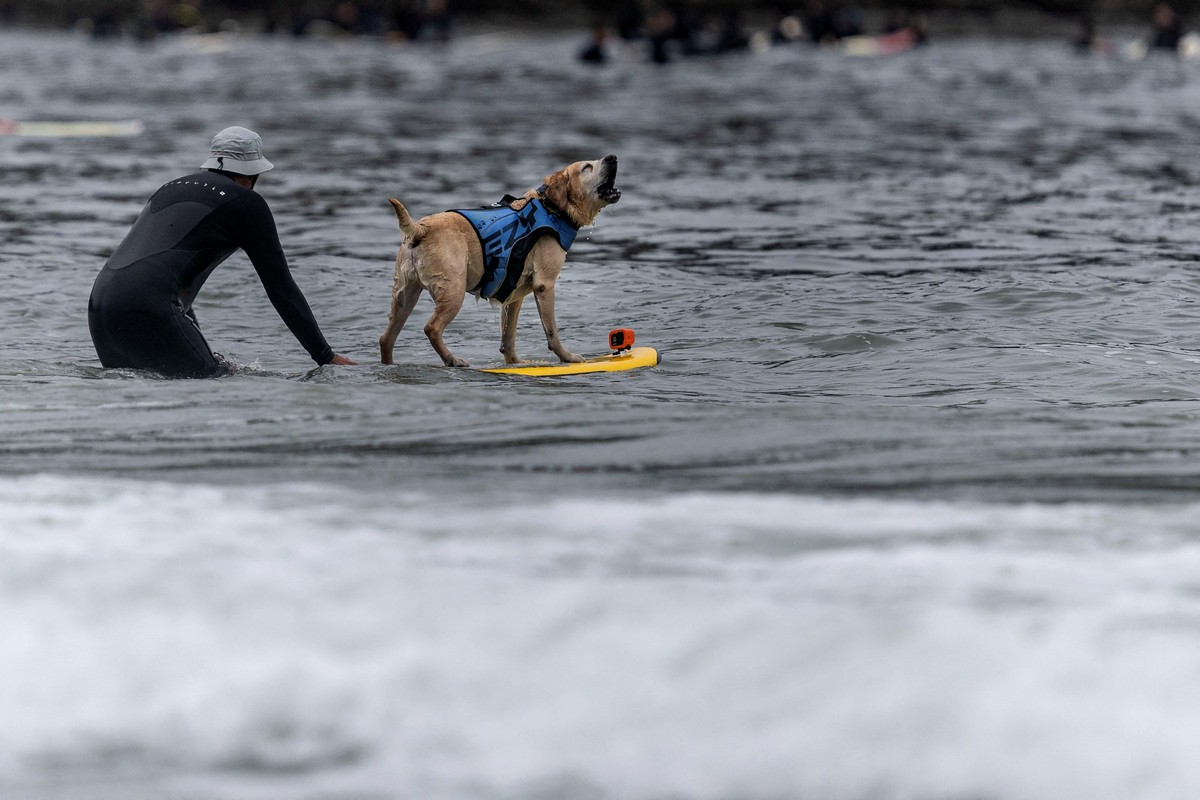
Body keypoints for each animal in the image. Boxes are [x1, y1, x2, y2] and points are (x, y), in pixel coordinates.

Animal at [379, 154, 624, 367]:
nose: (612, 157)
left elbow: (508, 336)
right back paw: (452, 359)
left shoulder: (514, 295)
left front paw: (515, 363)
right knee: (432, 328)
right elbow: (552, 332)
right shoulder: (545, 286)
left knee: (386, 338)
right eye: (587, 167)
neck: (552, 208)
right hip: (452, 291)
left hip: (404, 295)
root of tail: (421, 228)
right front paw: (567, 357)